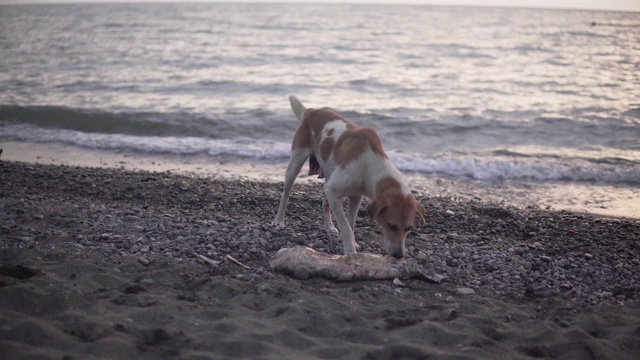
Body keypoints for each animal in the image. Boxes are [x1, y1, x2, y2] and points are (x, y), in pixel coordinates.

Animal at [272, 95, 424, 258]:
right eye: (391, 225)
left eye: (409, 228)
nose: (399, 255)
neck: (370, 163)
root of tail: (310, 111)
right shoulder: (333, 190)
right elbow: (345, 226)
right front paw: (350, 250)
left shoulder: (356, 196)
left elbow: (350, 222)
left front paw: (353, 243)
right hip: (296, 162)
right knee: (286, 194)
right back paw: (279, 221)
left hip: (329, 174)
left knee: (325, 203)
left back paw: (329, 227)